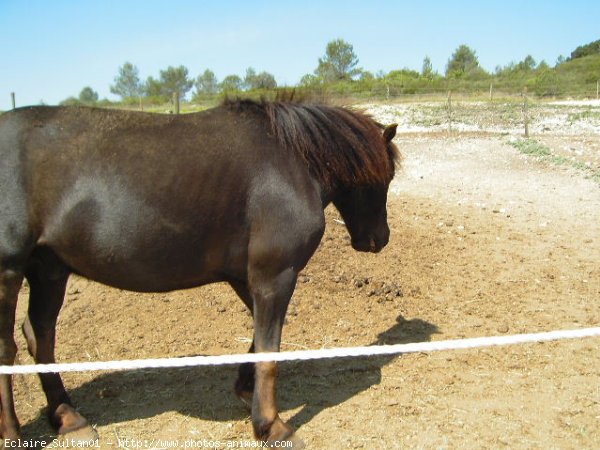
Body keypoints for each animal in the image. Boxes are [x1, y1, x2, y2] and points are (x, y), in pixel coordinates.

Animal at [0, 98, 398, 446]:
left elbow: (259, 341)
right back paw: (12, 433)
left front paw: (245, 391)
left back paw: (68, 418)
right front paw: (271, 426)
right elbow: (269, 350)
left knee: (40, 335)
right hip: (9, 271)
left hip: (49, 269)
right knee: (9, 349)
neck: (292, 163)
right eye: (386, 176)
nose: (379, 239)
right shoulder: (275, 276)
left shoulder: (246, 278)